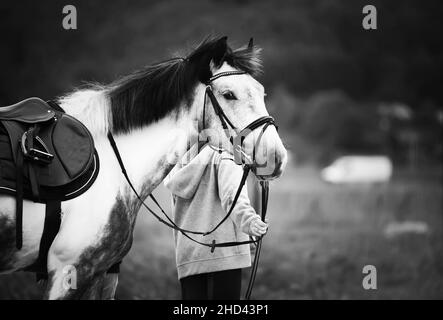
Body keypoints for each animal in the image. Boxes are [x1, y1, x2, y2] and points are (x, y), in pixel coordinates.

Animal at [0, 37, 288, 300]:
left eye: (261, 93)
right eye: (228, 94)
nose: (276, 157)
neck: (112, 164)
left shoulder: (103, 274)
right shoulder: (69, 272)